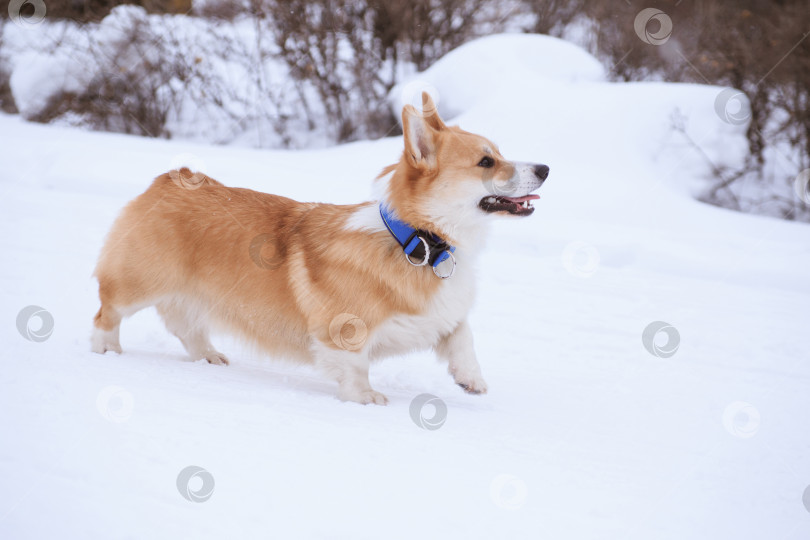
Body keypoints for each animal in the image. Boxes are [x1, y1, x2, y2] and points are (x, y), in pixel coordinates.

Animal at [93, 94, 548, 404]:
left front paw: (470, 378)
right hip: (139, 283)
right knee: (107, 312)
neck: (413, 240)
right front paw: (366, 399)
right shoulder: (343, 329)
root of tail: (171, 178)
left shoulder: (442, 316)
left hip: (192, 295)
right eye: (486, 162)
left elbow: (462, 336)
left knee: (186, 327)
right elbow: (355, 364)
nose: (545, 168)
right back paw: (106, 351)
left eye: (499, 153)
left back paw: (209, 357)